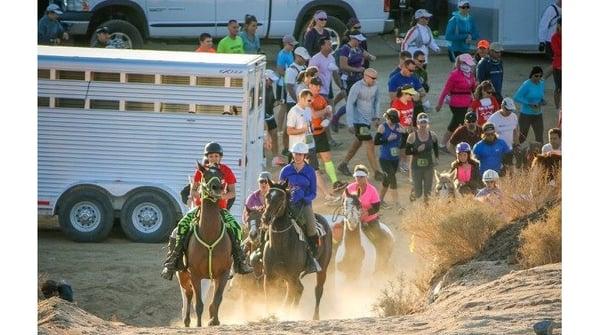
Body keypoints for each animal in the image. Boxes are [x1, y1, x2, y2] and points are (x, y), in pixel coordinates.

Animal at [176, 164, 232, 330]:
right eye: (205, 175)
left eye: (221, 176)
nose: (217, 187)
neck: (210, 234)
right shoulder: (195, 274)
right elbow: (199, 303)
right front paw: (199, 324)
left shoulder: (224, 273)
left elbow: (217, 299)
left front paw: (214, 321)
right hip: (183, 275)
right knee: (188, 295)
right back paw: (187, 320)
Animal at [260, 180, 332, 322]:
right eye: (267, 195)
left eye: (281, 197)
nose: (266, 218)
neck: (280, 245)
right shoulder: (270, 276)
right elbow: (269, 298)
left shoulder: (291, 275)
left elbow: (288, 298)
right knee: (300, 289)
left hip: (322, 268)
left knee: (317, 290)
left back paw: (315, 317)